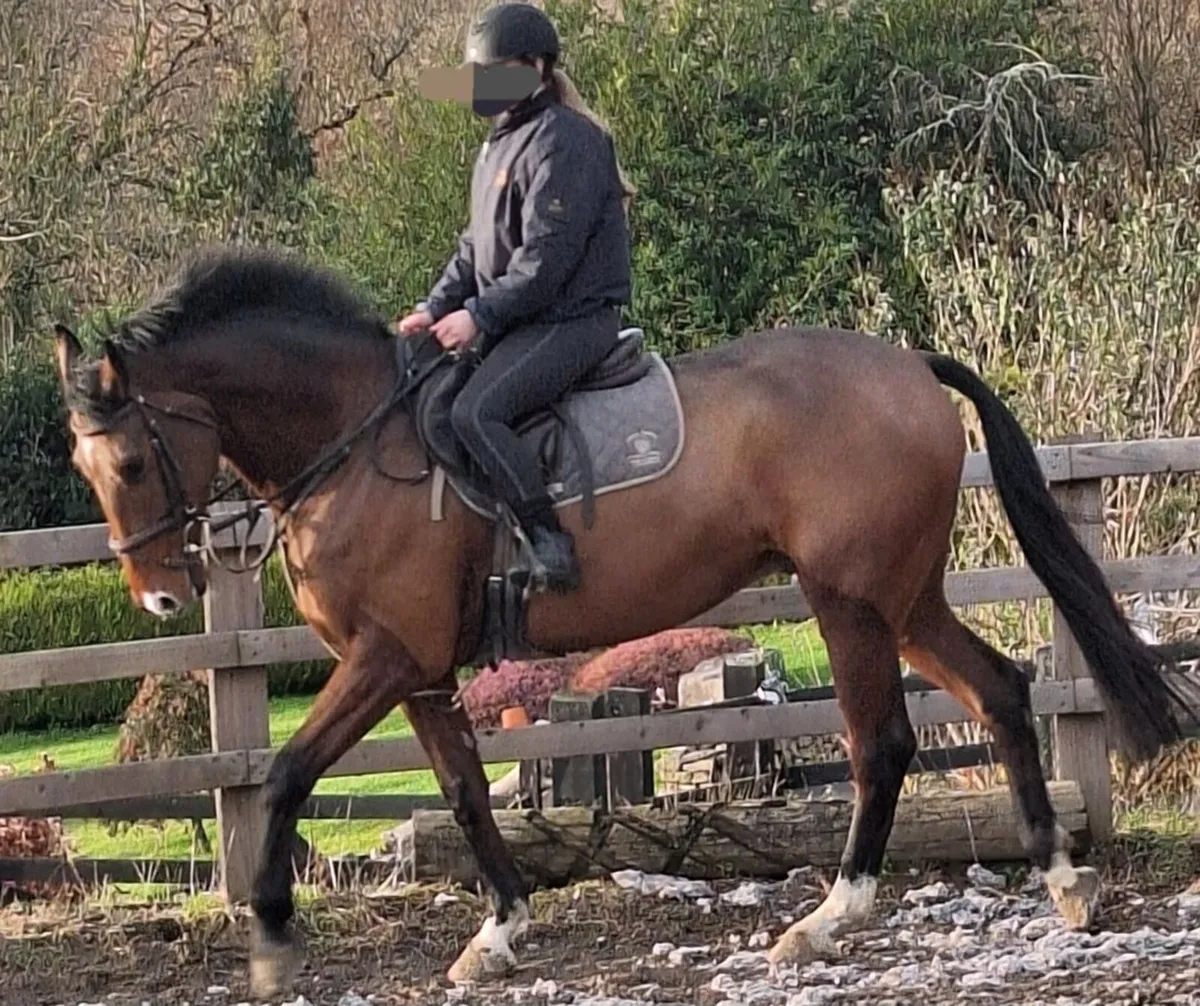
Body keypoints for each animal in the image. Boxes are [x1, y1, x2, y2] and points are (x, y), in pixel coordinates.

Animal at [52, 245, 1196, 997]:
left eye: (134, 460)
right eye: (85, 463)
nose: (161, 597)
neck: (354, 440)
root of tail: (908, 365)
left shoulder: (384, 658)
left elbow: (288, 774)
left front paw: (273, 936)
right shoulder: (420, 672)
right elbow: (466, 794)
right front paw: (499, 933)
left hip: (847, 604)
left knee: (882, 744)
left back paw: (828, 921)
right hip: (903, 598)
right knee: (999, 690)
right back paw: (1062, 881)